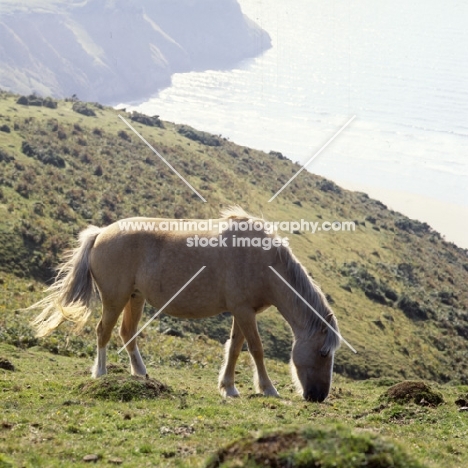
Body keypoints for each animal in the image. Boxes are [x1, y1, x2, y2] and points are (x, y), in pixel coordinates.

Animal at [32, 207, 340, 402]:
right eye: (323, 353)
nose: (318, 396)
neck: (263, 259)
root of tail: (100, 233)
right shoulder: (243, 311)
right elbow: (256, 349)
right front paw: (268, 389)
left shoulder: (242, 312)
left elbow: (235, 349)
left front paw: (229, 388)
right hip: (114, 299)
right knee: (102, 332)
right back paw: (101, 373)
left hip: (135, 298)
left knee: (127, 334)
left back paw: (141, 374)